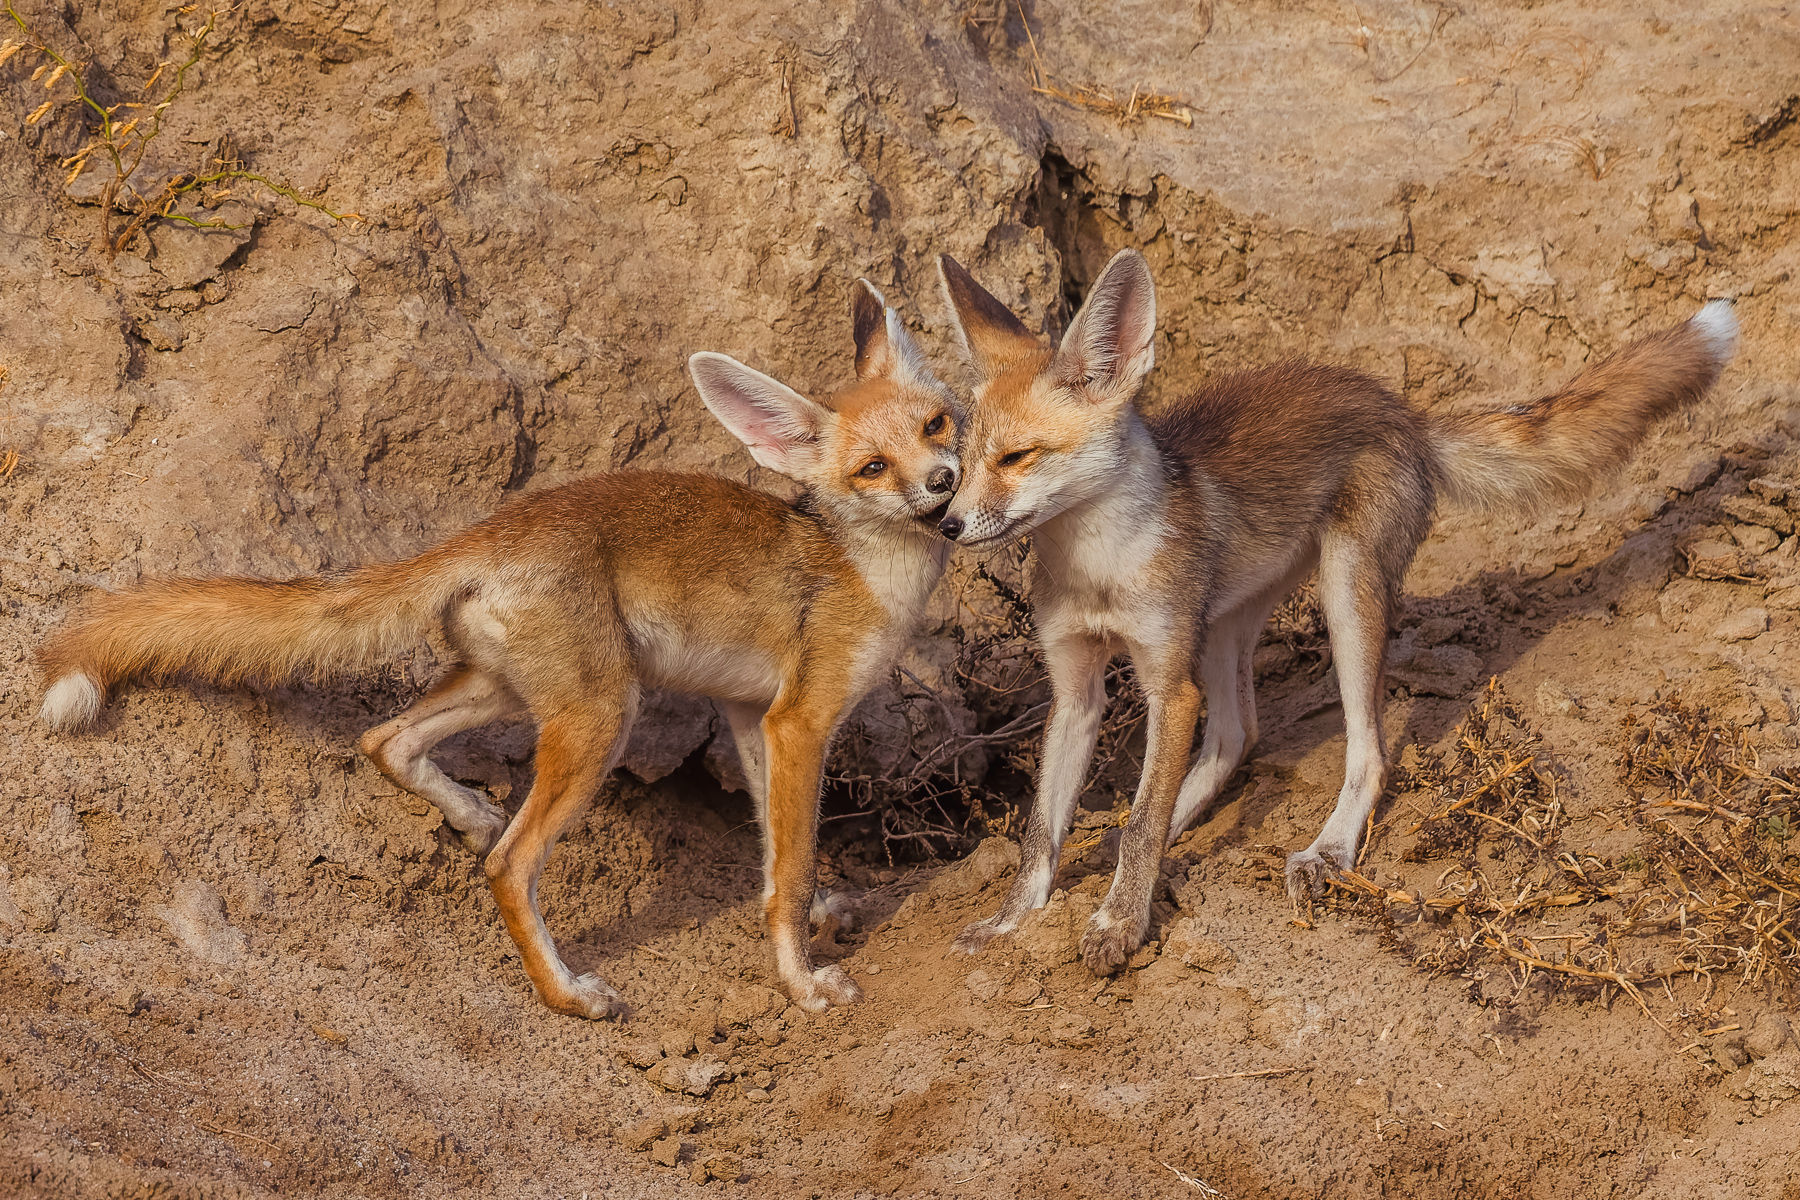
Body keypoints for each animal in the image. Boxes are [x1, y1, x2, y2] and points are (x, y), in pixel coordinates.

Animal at [35, 279, 963, 1018]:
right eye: (873, 467)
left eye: (937, 425)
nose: (945, 482)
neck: (861, 565)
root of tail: (490, 528)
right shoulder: (800, 721)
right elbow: (790, 870)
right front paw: (803, 985)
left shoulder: (749, 716)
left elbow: (775, 854)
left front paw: (817, 921)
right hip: (602, 716)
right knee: (509, 865)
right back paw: (566, 994)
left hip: (511, 691)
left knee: (384, 739)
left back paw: (470, 812)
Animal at [933, 247, 1738, 973]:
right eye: (961, 463)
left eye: (1017, 458)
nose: (947, 523)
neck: (1099, 569)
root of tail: (1397, 406)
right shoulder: (1074, 688)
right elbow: (1043, 830)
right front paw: (1011, 923)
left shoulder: (1170, 681)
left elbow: (1141, 823)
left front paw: (1119, 925)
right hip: (1226, 622)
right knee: (1238, 735)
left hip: (1346, 597)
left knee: (1368, 753)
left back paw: (1328, 849)